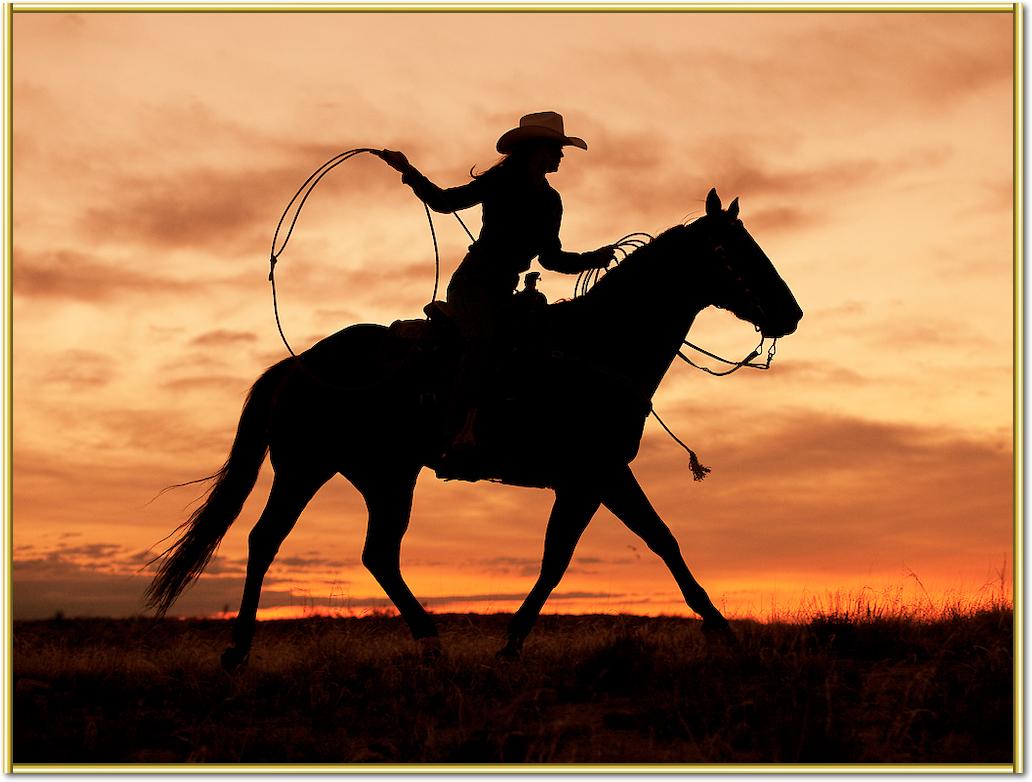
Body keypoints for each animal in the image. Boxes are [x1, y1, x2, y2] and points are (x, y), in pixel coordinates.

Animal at [147, 188, 804, 668]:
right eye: (739, 251)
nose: (791, 313)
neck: (598, 344)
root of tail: (298, 363)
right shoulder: (596, 474)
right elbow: (597, 553)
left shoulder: (594, 478)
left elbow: (615, 548)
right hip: (308, 468)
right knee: (268, 540)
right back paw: (239, 650)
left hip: (382, 476)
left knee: (376, 553)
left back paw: (428, 640)